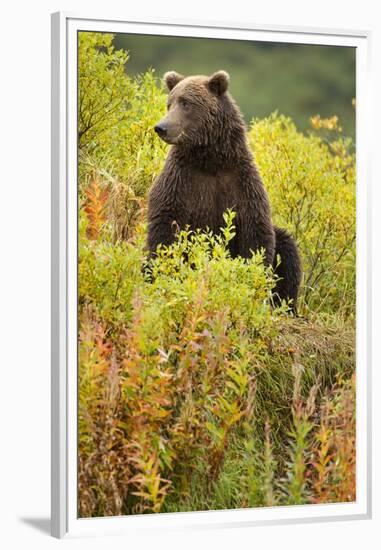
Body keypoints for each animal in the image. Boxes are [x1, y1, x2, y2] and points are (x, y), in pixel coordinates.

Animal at [145, 70, 300, 310]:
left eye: (186, 103)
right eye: (169, 103)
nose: (161, 127)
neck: (211, 160)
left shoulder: (242, 182)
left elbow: (255, 235)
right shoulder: (180, 179)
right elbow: (165, 225)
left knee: (287, 249)